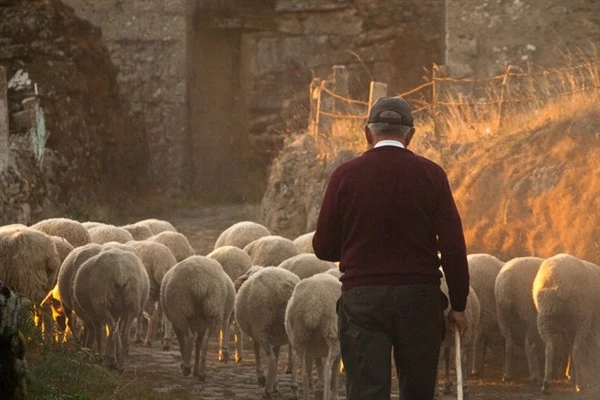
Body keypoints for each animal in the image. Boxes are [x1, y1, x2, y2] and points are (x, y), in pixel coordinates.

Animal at [234, 264, 300, 398]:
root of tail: (286, 286)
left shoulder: (255, 333)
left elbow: (256, 350)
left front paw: (262, 378)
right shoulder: (277, 337)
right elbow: (278, 353)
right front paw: (275, 384)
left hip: (262, 326)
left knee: (272, 359)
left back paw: (267, 391)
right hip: (291, 328)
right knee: (294, 357)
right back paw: (294, 389)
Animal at [284, 272, 340, 400]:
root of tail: (313, 304)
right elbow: (335, 375)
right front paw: (334, 394)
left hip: (299, 335)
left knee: (304, 373)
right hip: (332, 333)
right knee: (328, 368)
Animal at [494, 256, 548, 384]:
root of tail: (506, 285)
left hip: (502, 315)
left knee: (508, 343)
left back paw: (507, 374)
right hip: (529, 313)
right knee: (529, 345)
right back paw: (536, 377)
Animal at [532, 255, 596, 392]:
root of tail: (561, 283)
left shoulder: (568, 328)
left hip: (545, 317)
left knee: (550, 347)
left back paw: (546, 383)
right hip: (582, 316)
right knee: (576, 349)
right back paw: (579, 384)